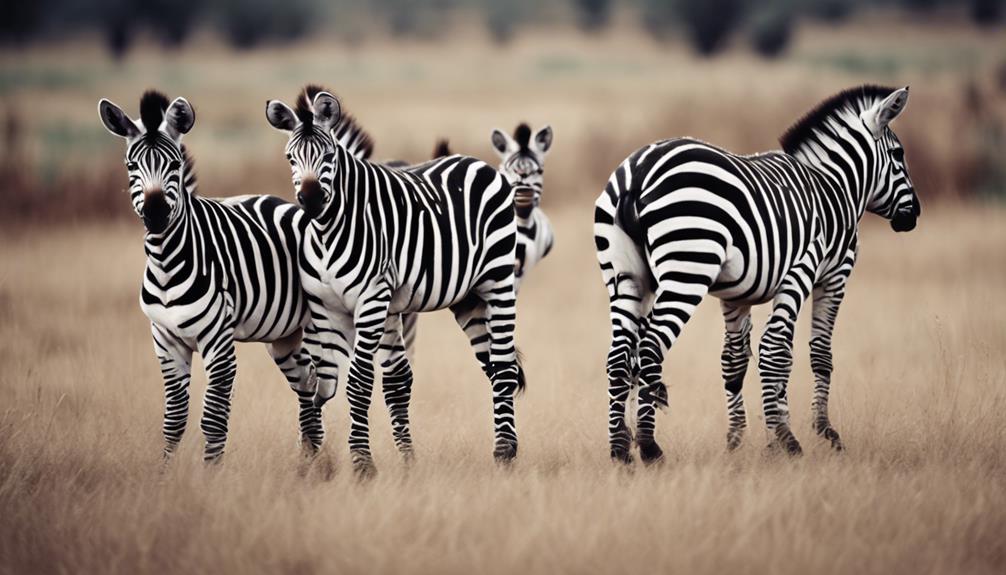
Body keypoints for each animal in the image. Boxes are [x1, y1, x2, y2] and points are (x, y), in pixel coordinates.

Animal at [98, 90, 325, 462]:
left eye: (175, 165)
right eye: (131, 166)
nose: (156, 214)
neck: (166, 262)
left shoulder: (218, 341)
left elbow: (213, 420)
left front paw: (210, 475)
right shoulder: (165, 340)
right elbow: (174, 419)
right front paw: (166, 472)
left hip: (313, 327)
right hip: (284, 339)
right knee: (307, 387)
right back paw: (311, 462)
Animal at [263, 84, 523, 472]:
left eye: (329, 157)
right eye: (290, 158)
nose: (310, 201)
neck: (328, 231)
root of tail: (475, 162)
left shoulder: (372, 301)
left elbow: (358, 381)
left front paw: (361, 462)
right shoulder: (326, 309)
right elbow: (322, 384)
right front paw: (313, 459)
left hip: (498, 281)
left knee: (504, 365)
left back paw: (505, 453)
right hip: (468, 297)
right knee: (491, 366)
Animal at [591, 84, 921, 462]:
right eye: (898, 154)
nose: (914, 215)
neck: (833, 188)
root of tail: (638, 172)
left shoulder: (736, 293)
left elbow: (736, 361)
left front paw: (743, 440)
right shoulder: (823, 274)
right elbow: (799, 352)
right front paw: (806, 436)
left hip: (626, 277)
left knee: (620, 356)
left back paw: (620, 448)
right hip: (687, 269)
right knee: (649, 348)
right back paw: (649, 447)